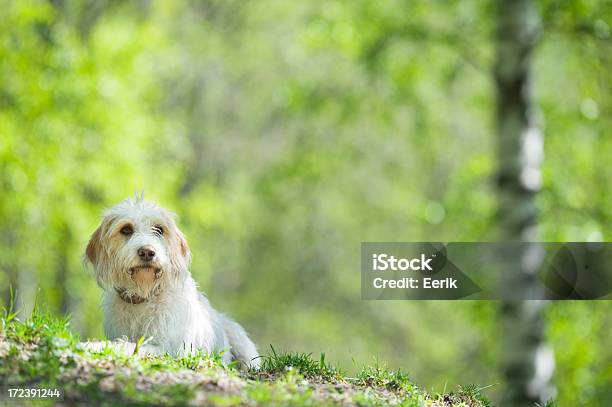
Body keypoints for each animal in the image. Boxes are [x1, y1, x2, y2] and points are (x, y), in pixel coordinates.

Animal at [85, 197, 260, 370]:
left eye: (159, 229)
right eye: (126, 229)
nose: (147, 252)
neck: (145, 297)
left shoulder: (169, 348)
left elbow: (129, 345)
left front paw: (93, 345)